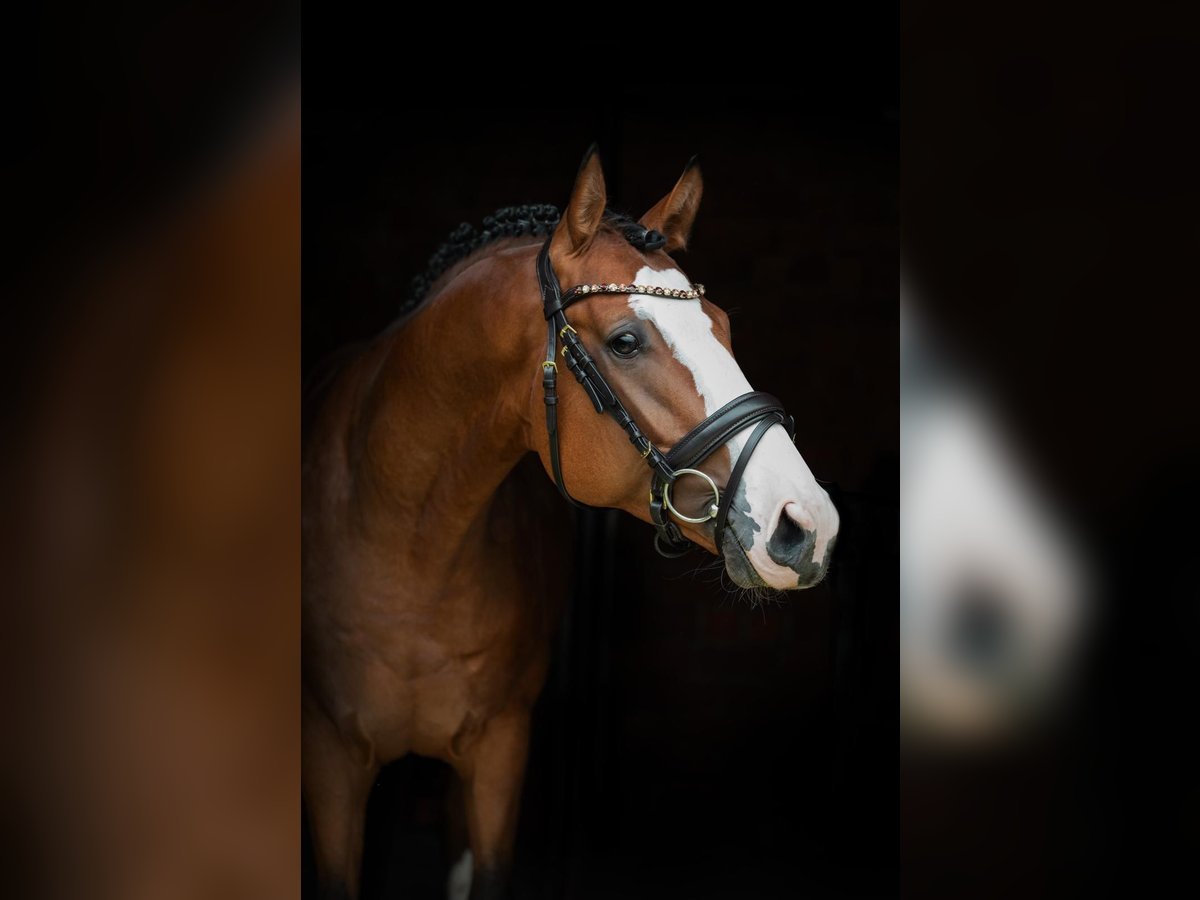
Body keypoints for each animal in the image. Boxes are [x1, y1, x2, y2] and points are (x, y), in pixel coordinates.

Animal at [304, 151, 840, 897]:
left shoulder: (500, 751)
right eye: (625, 341)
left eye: (724, 326)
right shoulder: (329, 762)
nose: (806, 525)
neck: (407, 544)